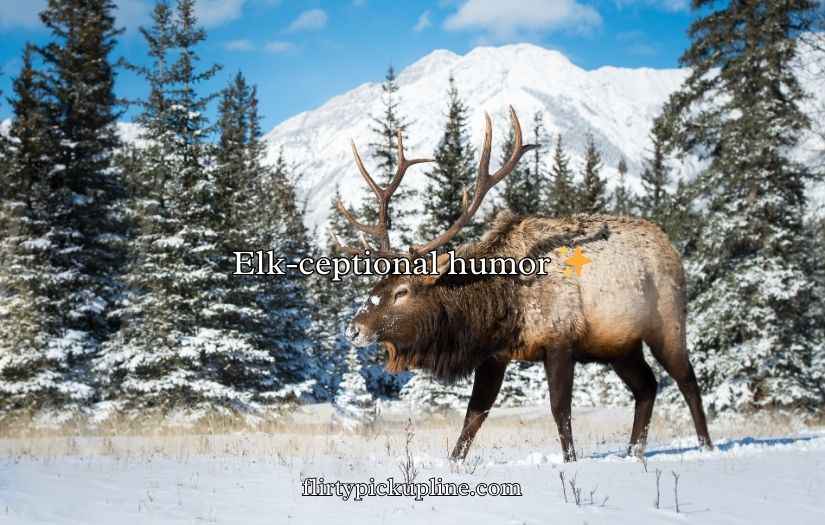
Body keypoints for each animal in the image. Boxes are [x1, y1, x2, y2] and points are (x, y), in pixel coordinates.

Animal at [333, 106, 712, 462]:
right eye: (377, 286)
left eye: (402, 291)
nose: (353, 328)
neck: (500, 306)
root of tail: (671, 246)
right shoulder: (495, 355)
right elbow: (474, 415)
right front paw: (453, 462)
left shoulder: (560, 340)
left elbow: (560, 410)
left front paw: (571, 461)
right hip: (619, 345)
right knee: (647, 386)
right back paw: (633, 452)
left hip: (666, 321)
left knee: (687, 379)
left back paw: (705, 446)